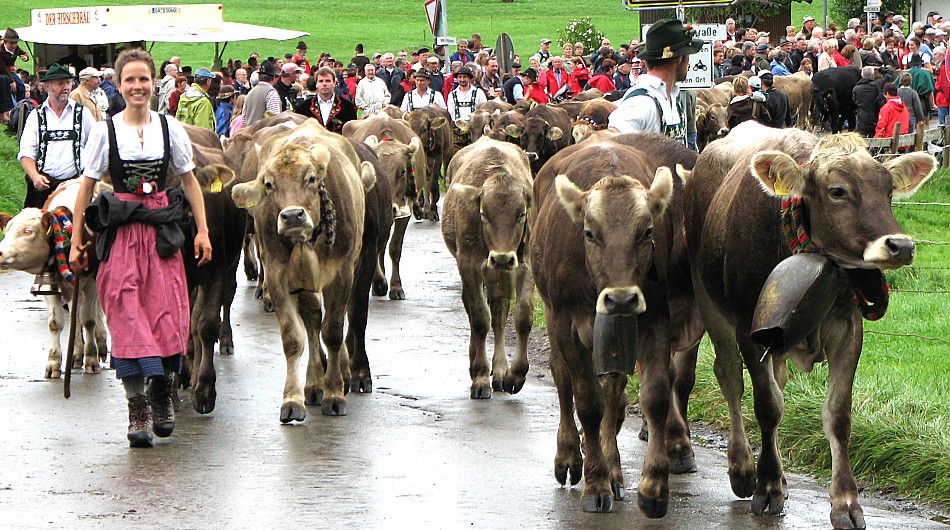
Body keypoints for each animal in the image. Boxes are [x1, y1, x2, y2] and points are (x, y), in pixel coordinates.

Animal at [231, 119, 376, 420]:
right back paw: (313, 383)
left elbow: (333, 332)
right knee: (311, 320)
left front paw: (334, 393)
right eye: (269, 183)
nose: (292, 216)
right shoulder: (277, 277)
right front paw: (292, 399)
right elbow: (294, 338)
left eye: (310, 178)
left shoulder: (342, 274)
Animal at [444, 136, 540, 396]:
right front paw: (479, 376)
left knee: (498, 312)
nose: (502, 258)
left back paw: (499, 371)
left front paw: (516, 375)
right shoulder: (469, 265)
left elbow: (522, 316)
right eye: (483, 214)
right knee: (477, 310)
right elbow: (479, 318)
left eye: (521, 214)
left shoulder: (525, 265)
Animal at [532, 139, 688, 516]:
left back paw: (615, 468)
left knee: (613, 389)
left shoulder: (654, 318)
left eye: (647, 232)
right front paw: (596, 483)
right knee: (562, 380)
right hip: (553, 314)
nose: (620, 299)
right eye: (589, 233)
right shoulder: (566, 324)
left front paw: (653, 486)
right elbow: (587, 401)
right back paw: (570, 456)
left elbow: (654, 396)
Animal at [684, 121, 936, 524]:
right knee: (730, 377)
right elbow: (767, 406)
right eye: (838, 191)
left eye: (888, 190)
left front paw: (845, 502)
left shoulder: (848, 330)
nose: (900, 245)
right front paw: (767, 486)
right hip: (707, 297)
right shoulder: (749, 329)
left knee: (777, 381)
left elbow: (838, 415)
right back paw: (743, 469)